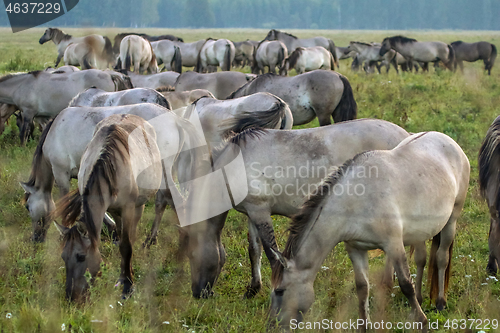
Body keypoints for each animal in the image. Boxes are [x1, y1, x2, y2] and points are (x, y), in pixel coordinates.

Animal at [0, 69, 132, 143]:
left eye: (17, 123)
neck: (21, 85)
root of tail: (110, 75)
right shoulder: (41, 117)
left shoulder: (28, 113)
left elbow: (24, 133)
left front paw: (22, 146)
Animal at [51, 113, 160, 298]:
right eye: (63, 257)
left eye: (81, 257)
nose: (71, 296)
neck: (110, 168)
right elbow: (121, 242)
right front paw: (123, 278)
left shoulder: (128, 208)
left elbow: (126, 246)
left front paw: (128, 286)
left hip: (138, 206)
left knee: (131, 235)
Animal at [182, 118, 408, 296]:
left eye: (192, 255)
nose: (198, 293)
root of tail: (405, 135)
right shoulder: (252, 212)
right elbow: (254, 250)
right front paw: (253, 288)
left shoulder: (260, 212)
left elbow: (271, 253)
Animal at [270, 130, 468, 330]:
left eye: (280, 291)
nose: (272, 325)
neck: (356, 201)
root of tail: (447, 140)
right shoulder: (356, 249)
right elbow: (362, 287)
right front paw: (364, 326)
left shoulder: (394, 245)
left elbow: (405, 284)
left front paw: (422, 321)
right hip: (420, 232)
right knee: (421, 259)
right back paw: (420, 299)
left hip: (451, 220)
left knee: (442, 258)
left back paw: (440, 303)